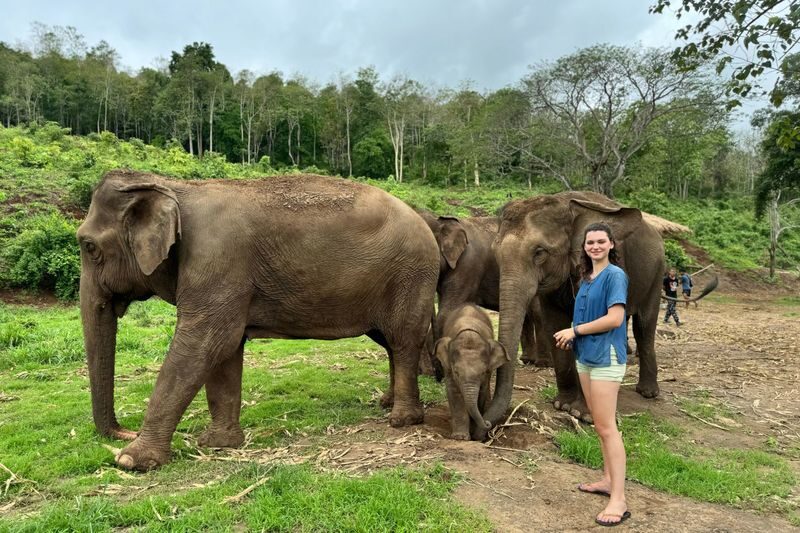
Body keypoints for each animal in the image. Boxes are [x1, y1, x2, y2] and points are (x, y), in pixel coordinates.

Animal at [77, 170, 439, 471]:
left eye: (89, 246)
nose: (124, 431)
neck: (175, 187)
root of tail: (424, 220)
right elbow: (225, 351)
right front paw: (218, 444)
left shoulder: (217, 260)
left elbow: (206, 342)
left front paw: (131, 461)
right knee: (389, 341)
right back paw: (387, 403)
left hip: (410, 273)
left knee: (403, 339)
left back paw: (402, 420)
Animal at [434, 304, 508, 440]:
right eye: (456, 372)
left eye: (483, 372)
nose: (487, 423)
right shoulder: (448, 368)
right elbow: (454, 393)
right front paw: (460, 437)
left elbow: (481, 392)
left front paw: (473, 433)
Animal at [481, 191, 670, 432]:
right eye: (495, 253)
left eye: (539, 252)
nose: (485, 422)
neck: (565, 203)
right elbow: (554, 324)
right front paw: (562, 405)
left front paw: (583, 414)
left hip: (657, 273)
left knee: (644, 326)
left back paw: (647, 392)